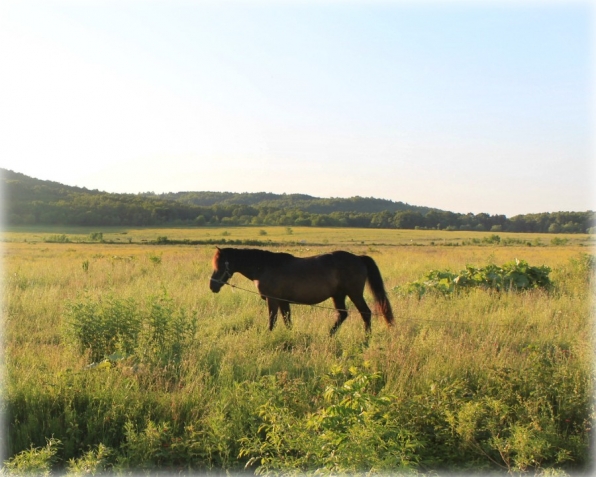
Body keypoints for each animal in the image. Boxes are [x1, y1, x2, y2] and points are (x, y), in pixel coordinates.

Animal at [207, 245, 394, 334]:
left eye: (220, 264)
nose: (212, 286)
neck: (265, 266)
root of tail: (359, 258)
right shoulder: (283, 302)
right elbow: (287, 321)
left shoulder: (273, 300)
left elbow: (272, 321)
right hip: (338, 295)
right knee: (342, 315)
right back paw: (330, 334)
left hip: (354, 293)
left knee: (365, 313)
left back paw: (366, 339)